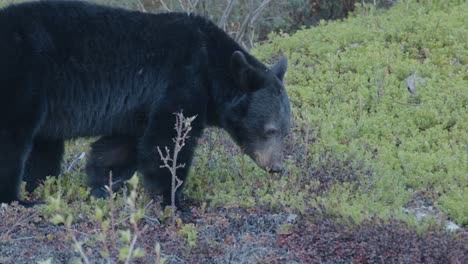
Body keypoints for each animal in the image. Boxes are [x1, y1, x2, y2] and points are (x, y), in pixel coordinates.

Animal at [0, 0, 290, 206]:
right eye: (270, 130)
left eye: (287, 132)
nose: (277, 167)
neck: (211, 66)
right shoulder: (182, 78)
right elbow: (168, 140)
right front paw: (174, 200)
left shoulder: (139, 106)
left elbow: (120, 146)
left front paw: (103, 186)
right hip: (24, 78)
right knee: (13, 140)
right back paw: (19, 201)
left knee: (43, 147)